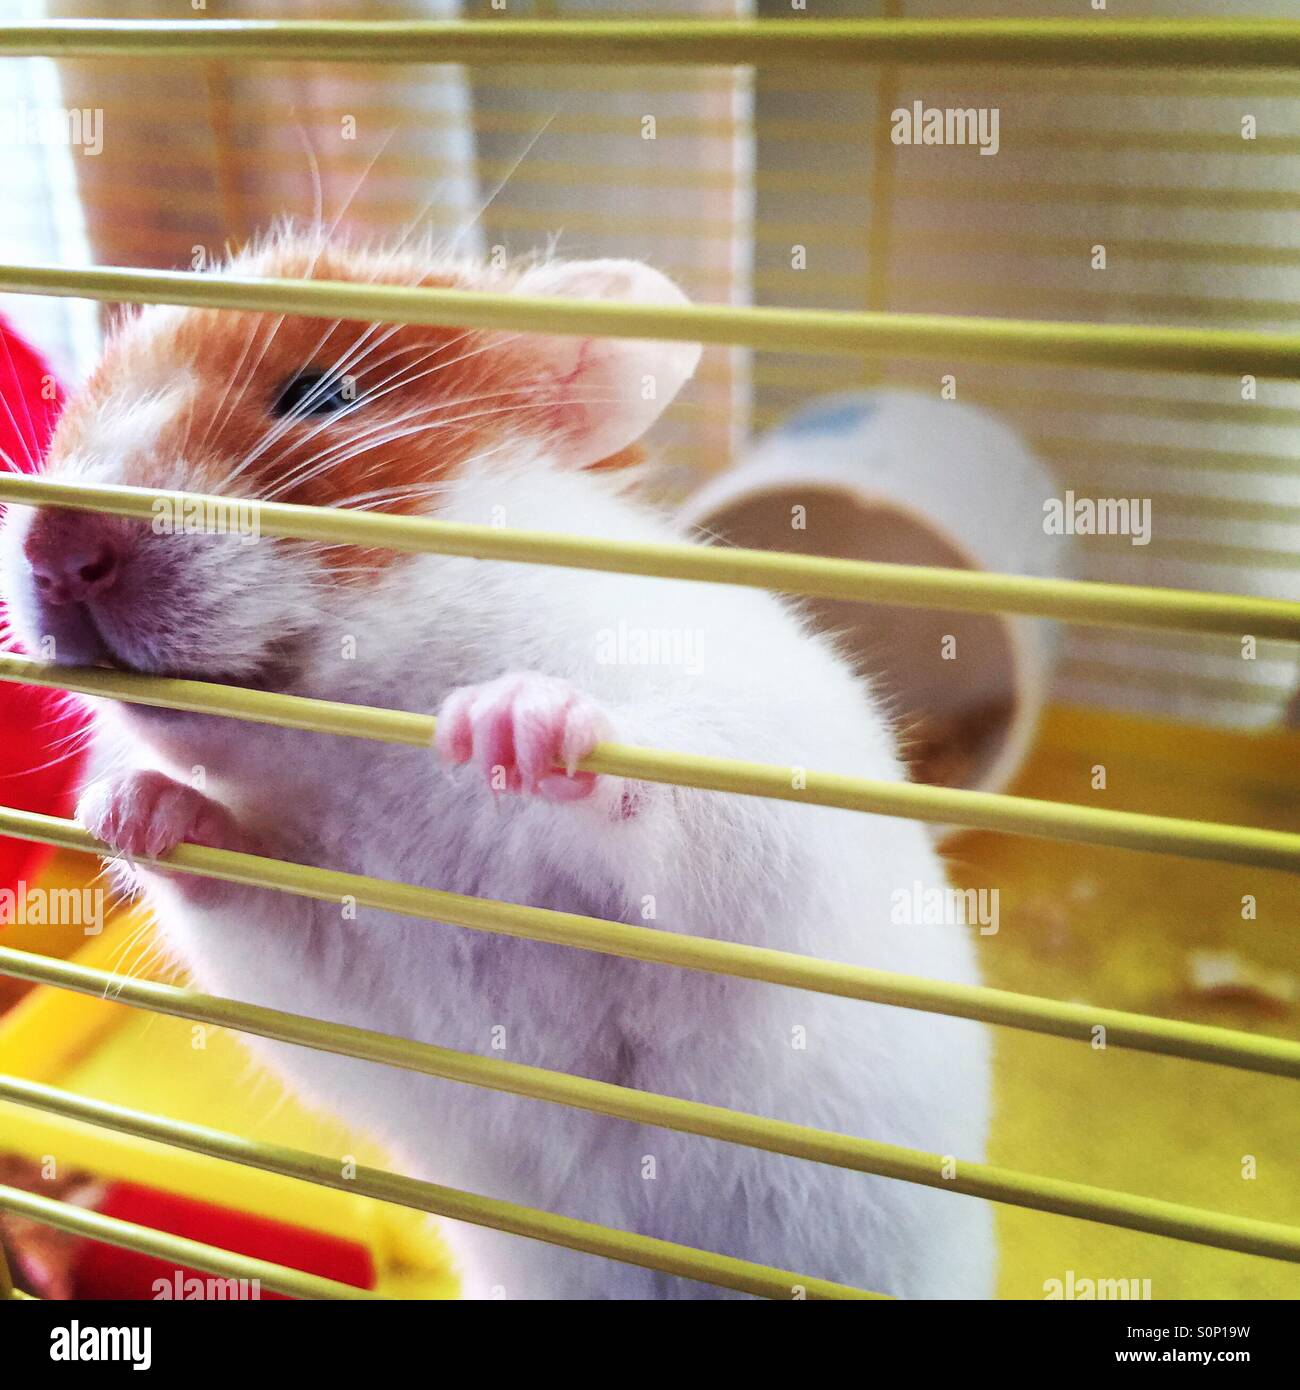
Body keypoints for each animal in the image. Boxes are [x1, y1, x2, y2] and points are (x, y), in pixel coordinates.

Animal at [0, 229, 995, 1299]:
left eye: (320, 396)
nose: (55, 547)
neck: (369, 753)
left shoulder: (756, 790)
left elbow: (663, 808)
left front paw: (505, 723)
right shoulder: (327, 964)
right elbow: (244, 890)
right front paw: (129, 810)